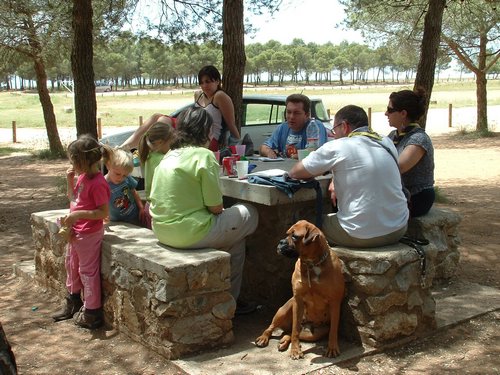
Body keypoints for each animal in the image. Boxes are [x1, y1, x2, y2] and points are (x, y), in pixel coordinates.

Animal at [254, 220, 344, 362]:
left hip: (314, 333)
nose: (281, 242)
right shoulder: (298, 300)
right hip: (283, 311)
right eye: (287, 234)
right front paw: (295, 351)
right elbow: (295, 330)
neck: (312, 263)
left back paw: (284, 342)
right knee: (276, 328)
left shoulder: (335, 302)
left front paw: (332, 348)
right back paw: (264, 338)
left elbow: (334, 329)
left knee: (287, 333)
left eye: (295, 236)